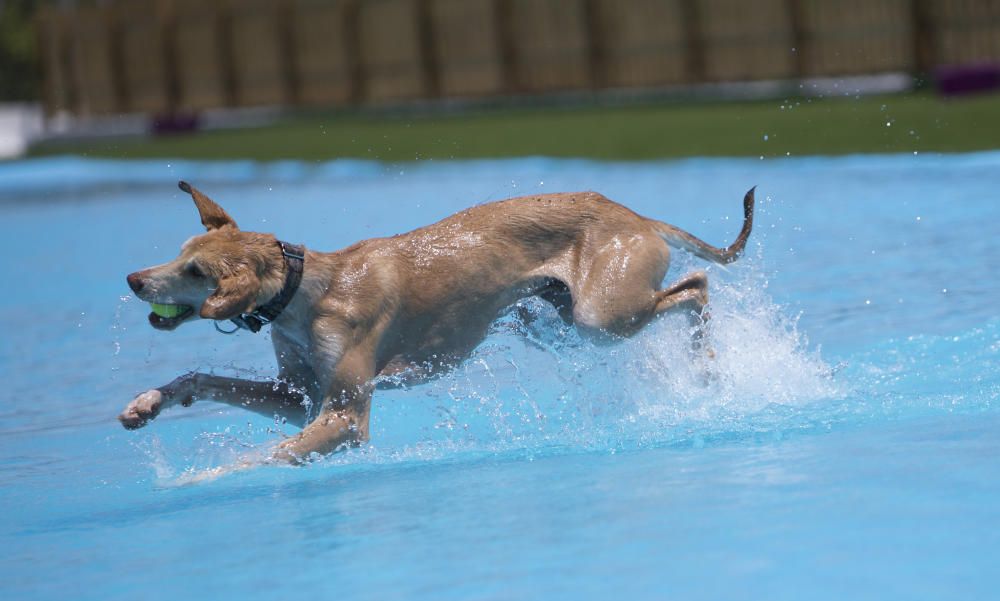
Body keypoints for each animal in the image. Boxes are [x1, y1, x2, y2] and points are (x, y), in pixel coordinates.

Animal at [119, 182, 752, 464]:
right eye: (181, 254)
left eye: (195, 271)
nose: (133, 280)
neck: (310, 289)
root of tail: (635, 215)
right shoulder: (295, 396)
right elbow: (202, 380)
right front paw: (147, 403)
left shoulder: (344, 416)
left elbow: (263, 456)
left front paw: (197, 479)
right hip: (559, 319)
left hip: (602, 318)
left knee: (698, 286)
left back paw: (709, 368)